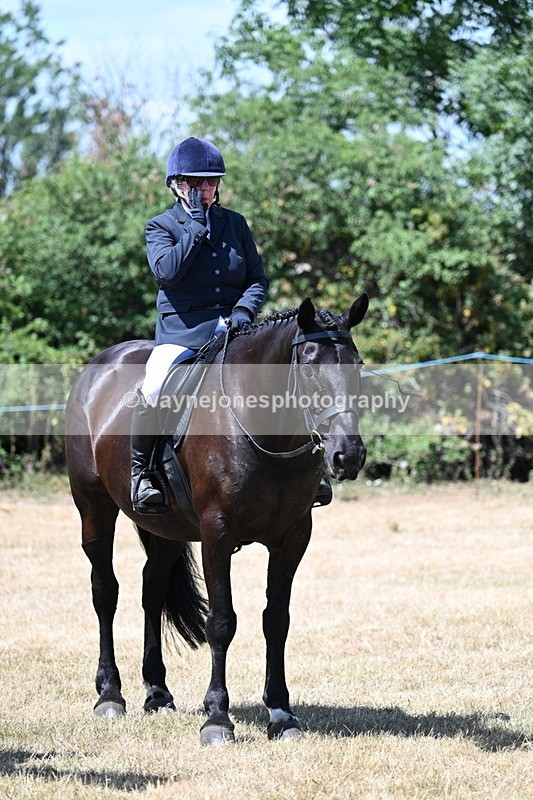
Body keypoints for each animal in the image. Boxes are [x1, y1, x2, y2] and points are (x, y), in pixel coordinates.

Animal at [65, 293, 368, 745]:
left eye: (357, 365)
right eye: (310, 367)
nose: (348, 456)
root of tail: (100, 364)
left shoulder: (293, 536)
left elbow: (276, 620)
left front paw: (281, 715)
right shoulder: (217, 533)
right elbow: (221, 622)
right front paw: (217, 718)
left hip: (168, 529)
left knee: (151, 590)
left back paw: (157, 693)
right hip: (94, 508)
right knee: (105, 592)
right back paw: (109, 695)